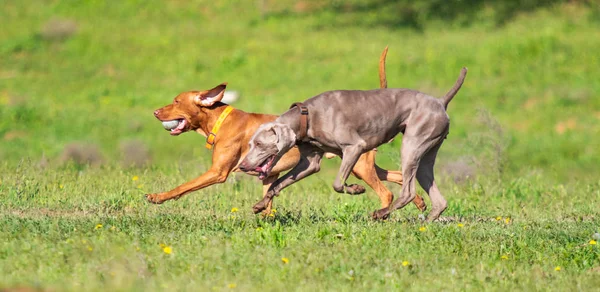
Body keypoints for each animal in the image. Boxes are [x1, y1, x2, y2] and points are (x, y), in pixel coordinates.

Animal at [145, 48, 426, 214]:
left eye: (176, 101)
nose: (155, 112)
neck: (220, 120)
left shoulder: (218, 172)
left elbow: (184, 186)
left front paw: (157, 197)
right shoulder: (268, 174)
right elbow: (268, 201)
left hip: (360, 165)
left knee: (386, 192)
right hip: (362, 165)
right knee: (398, 176)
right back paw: (419, 202)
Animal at [239, 66, 468, 221]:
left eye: (259, 144)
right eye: (250, 144)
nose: (242, 166)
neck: (307, 116)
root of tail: (440, 102)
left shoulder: (354, 147)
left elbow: (338, 183)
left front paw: (356, 189)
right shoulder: (309, 163)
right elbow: (278, 183)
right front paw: (260, 205)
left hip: (411, 145)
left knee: (408, 192)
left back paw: (380, 213)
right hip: (426, 152)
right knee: (439, 200)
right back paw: (424, 224)